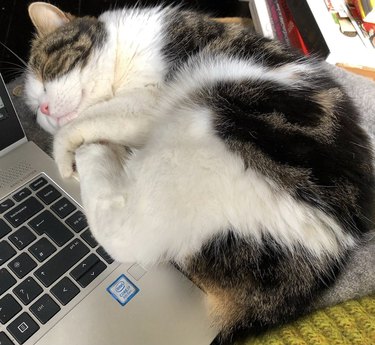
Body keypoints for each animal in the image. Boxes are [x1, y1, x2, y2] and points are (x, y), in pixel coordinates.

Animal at [25, 2, 375, 342]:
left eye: (46, 71)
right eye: (34, 106)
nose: (43, 110)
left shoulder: (146, 101)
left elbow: (83, 123)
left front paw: (63, 152)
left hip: (198, 124)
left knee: (124, 232)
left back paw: (95, 153)